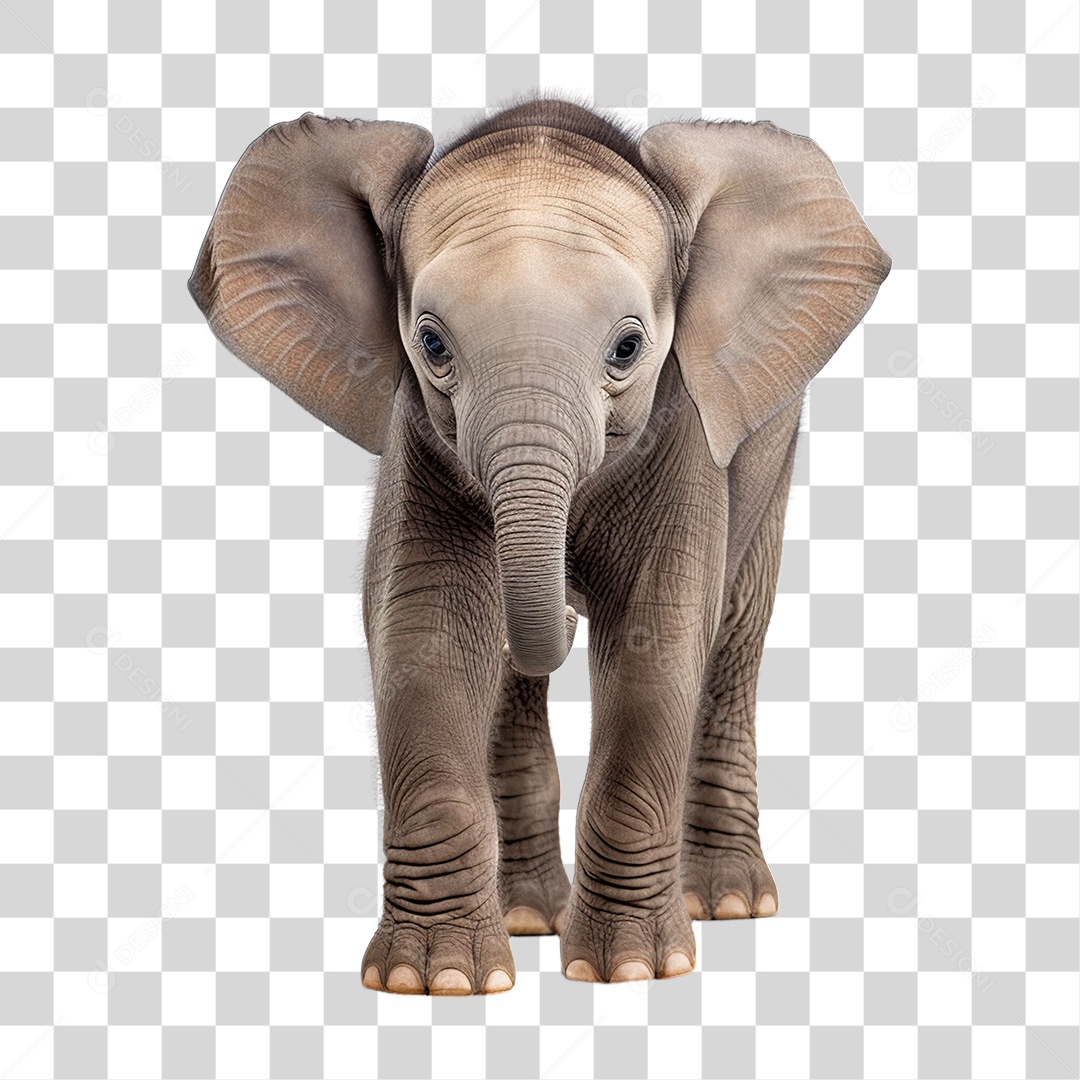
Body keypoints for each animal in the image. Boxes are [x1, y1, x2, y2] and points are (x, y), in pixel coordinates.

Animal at [190, 96, 890, 994]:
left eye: (628, 347)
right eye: (432, 343)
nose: (557, 604)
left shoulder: (684, 418)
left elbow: (657, 638)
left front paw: (634, 969)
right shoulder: (423, 437)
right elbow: (428, 631)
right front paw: (436, 981)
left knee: (737, 627)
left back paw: (727, 903)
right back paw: (528, 917)